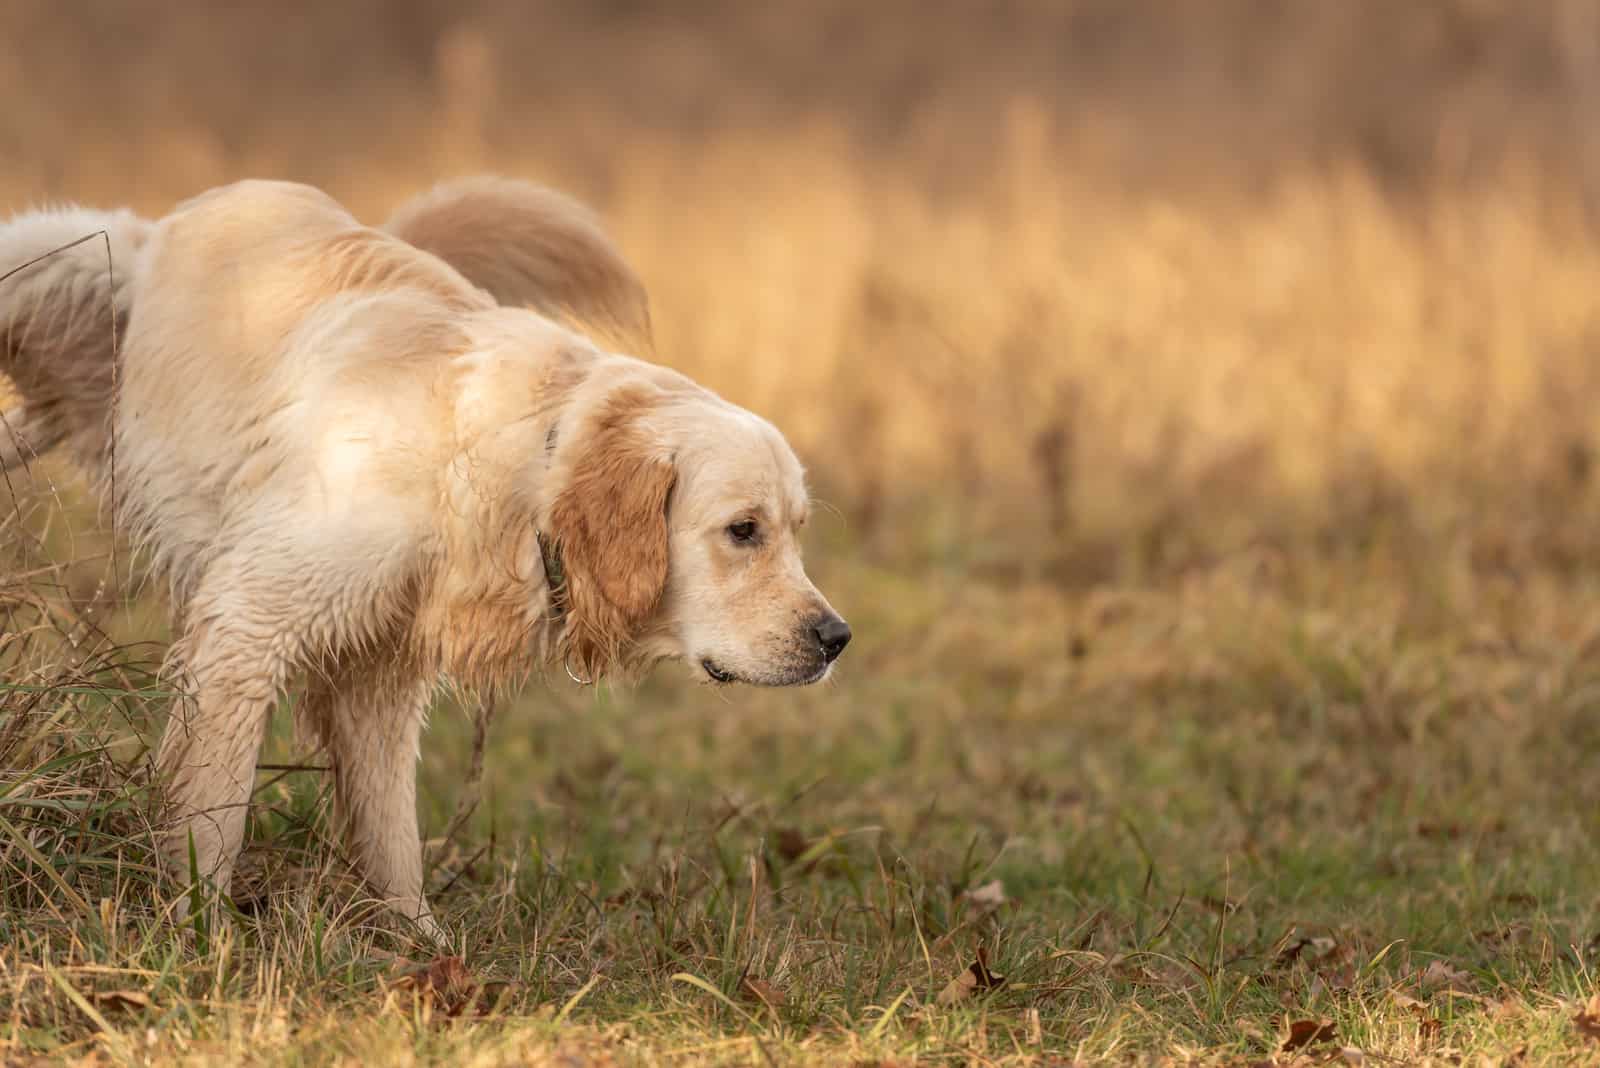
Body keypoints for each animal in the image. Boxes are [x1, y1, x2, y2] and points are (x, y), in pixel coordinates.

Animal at [0, 177, 851, 940]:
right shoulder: (247, 624)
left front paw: (419, 945)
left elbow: (390, 835)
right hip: (62, 262)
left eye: (797, 528)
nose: (836, 638)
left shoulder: (382, 670)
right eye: (744, 530)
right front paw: (194, 931)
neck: (524, 466)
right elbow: (213, 810)